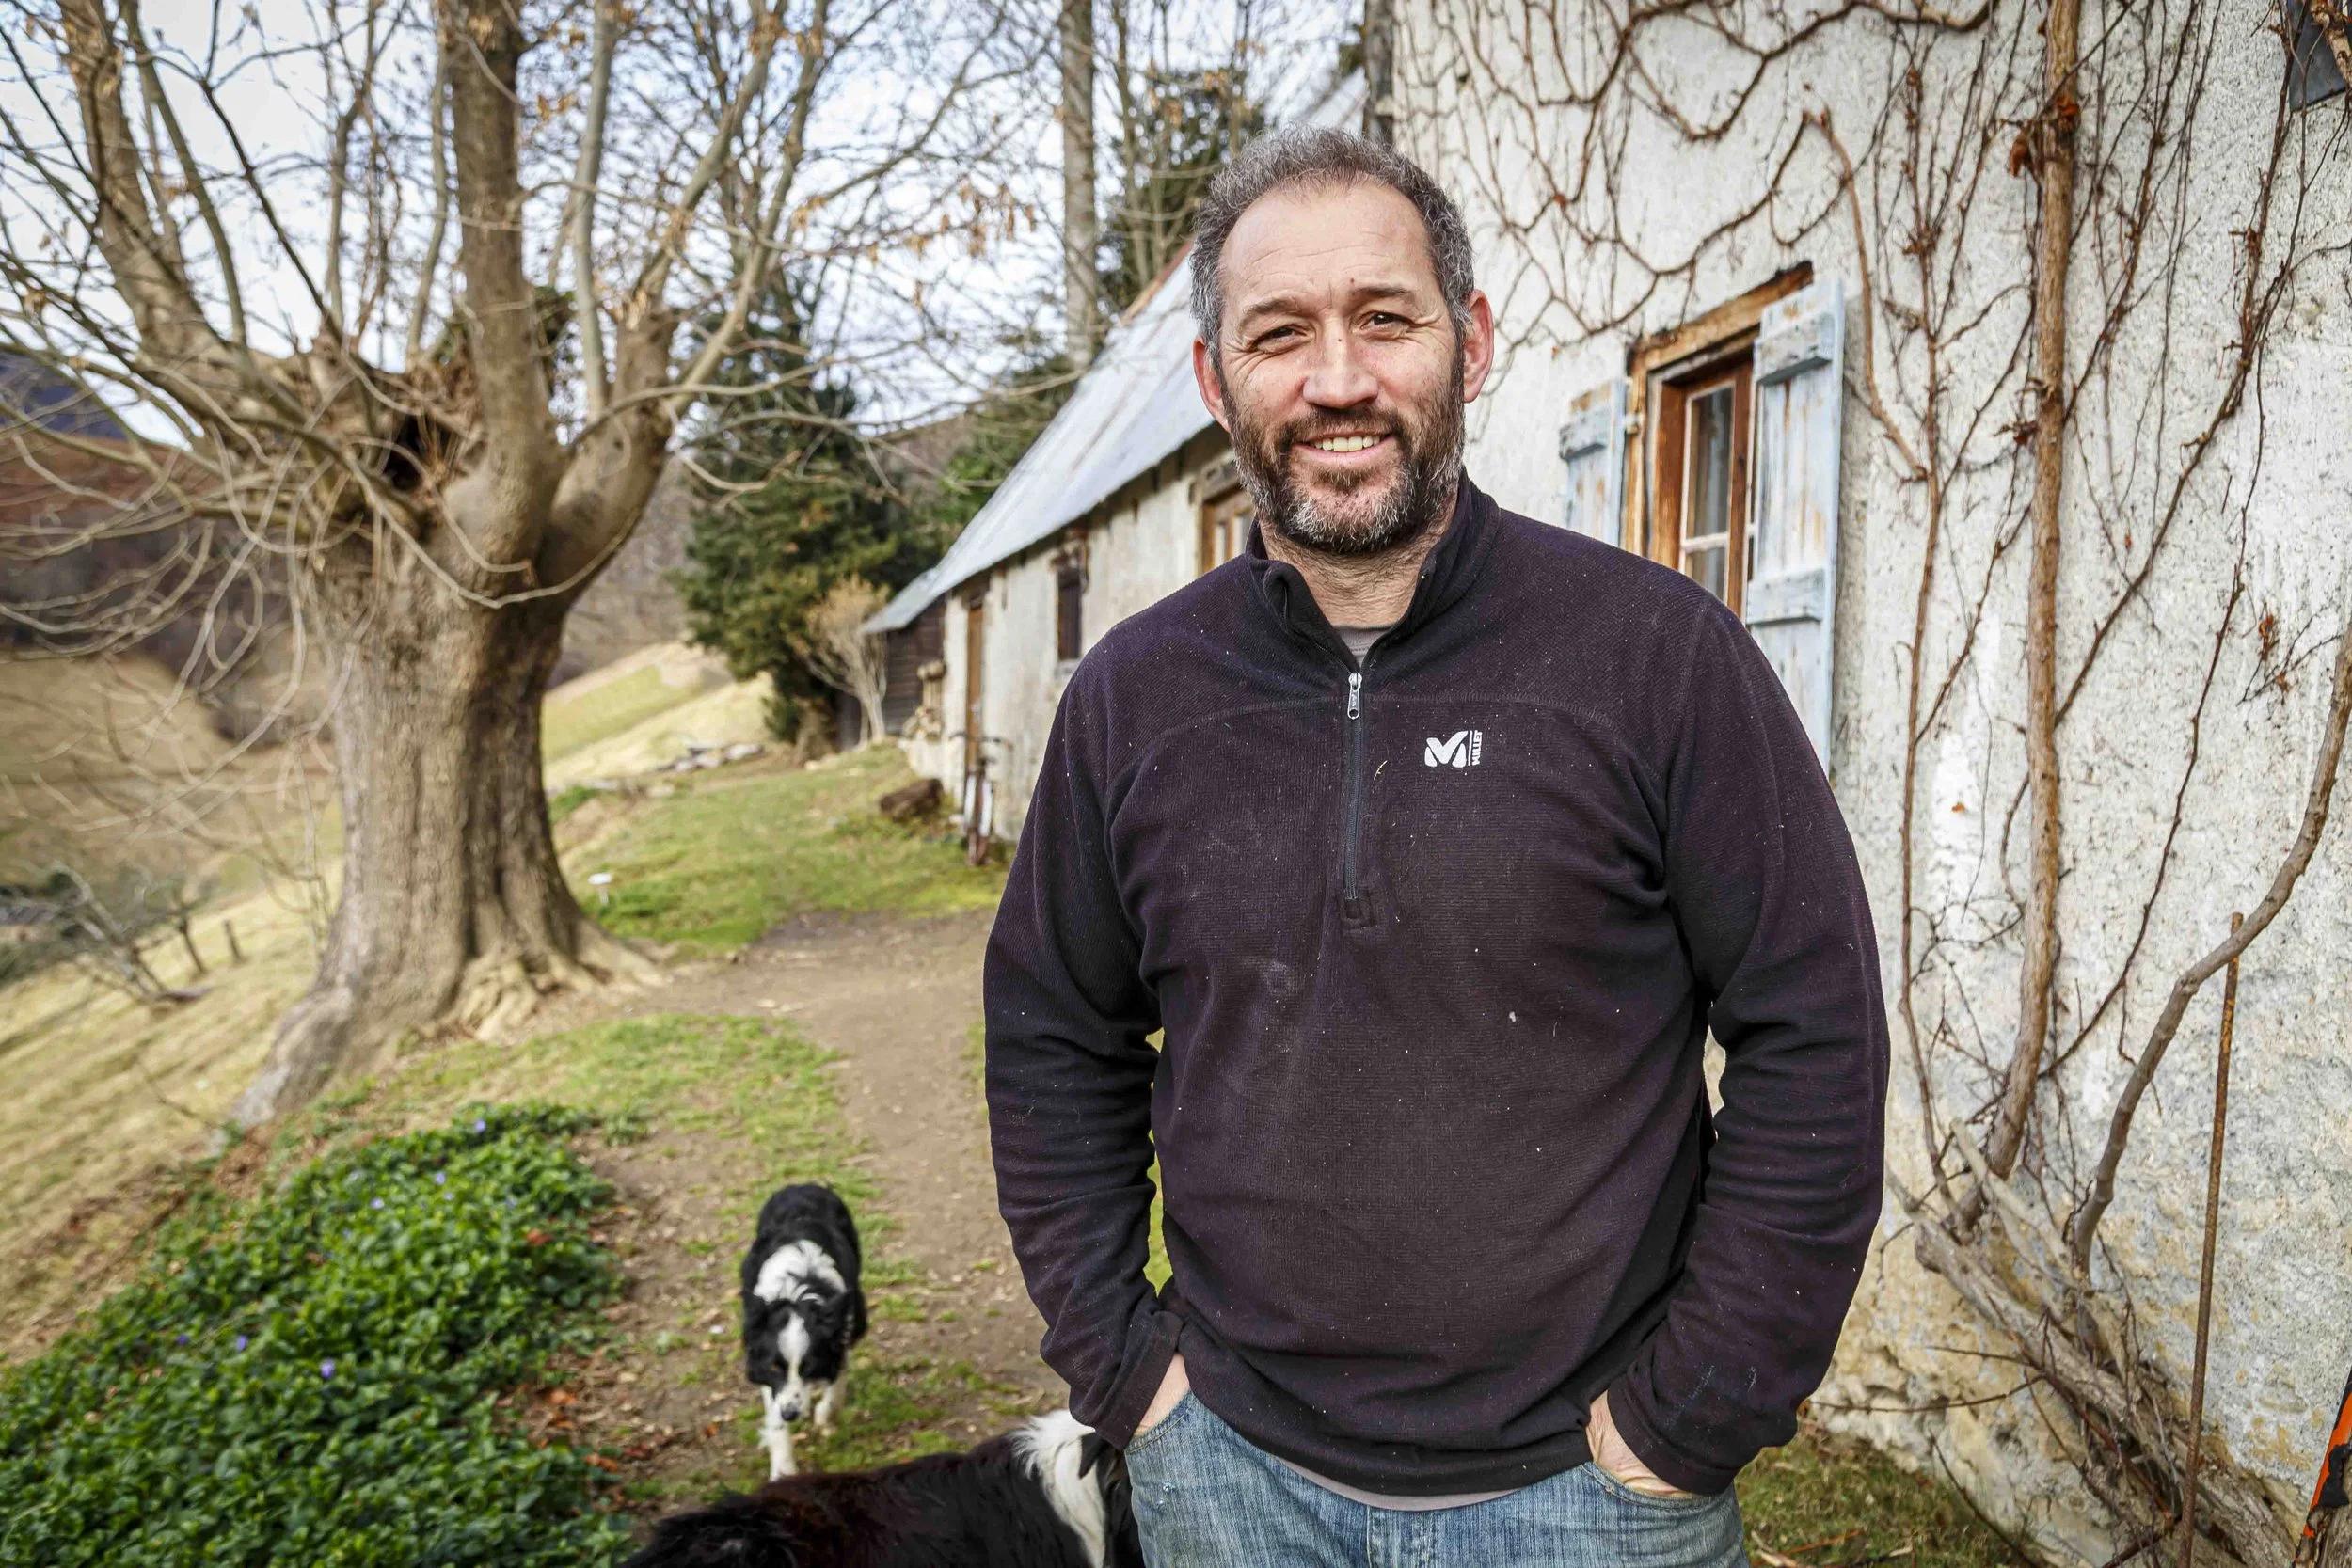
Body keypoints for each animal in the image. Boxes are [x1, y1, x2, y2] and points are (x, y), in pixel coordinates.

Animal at [742, 1183, 868, 1479]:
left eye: (808, 1368)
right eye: (774, 1367)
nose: (791, 1415)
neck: (798, 1292)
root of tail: (803, 1185)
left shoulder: (842, 1331)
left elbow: (837, 1383)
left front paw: (824, 1416)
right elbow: (774, 1419)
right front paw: (783, 1471)